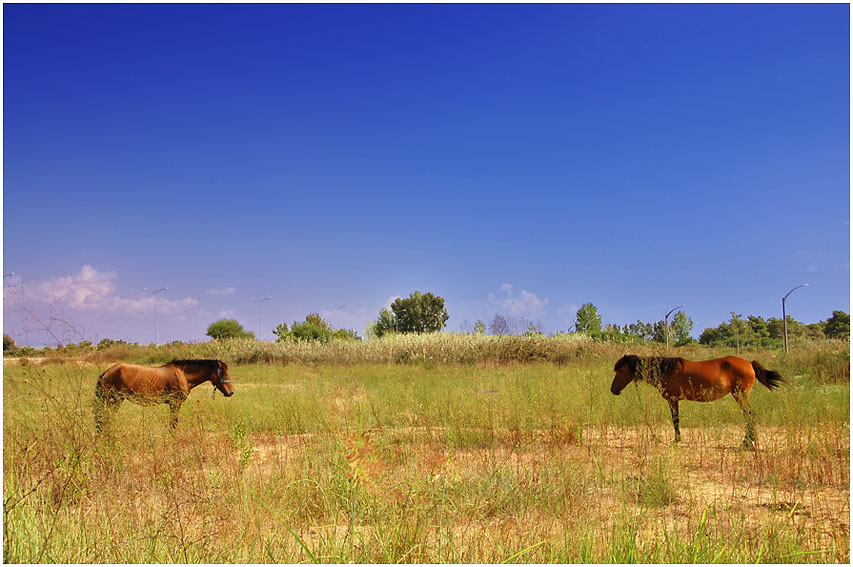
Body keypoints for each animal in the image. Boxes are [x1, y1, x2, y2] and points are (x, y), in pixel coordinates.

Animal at [95, 360, 235, 434]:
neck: (182, 374)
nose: (231, 392)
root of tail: (106, 372)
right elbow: (173, 423)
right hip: (114, 400)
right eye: (223, 373)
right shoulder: (175, 403)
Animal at [608, 356, 784, 448]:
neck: (666, 370)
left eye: (621, 370)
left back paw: (746, 442)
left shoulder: (672, 399)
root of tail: (750, 363)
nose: (613, 390)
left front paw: (676, 440)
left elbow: (675, 420)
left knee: (749, 416)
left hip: (740, 395)